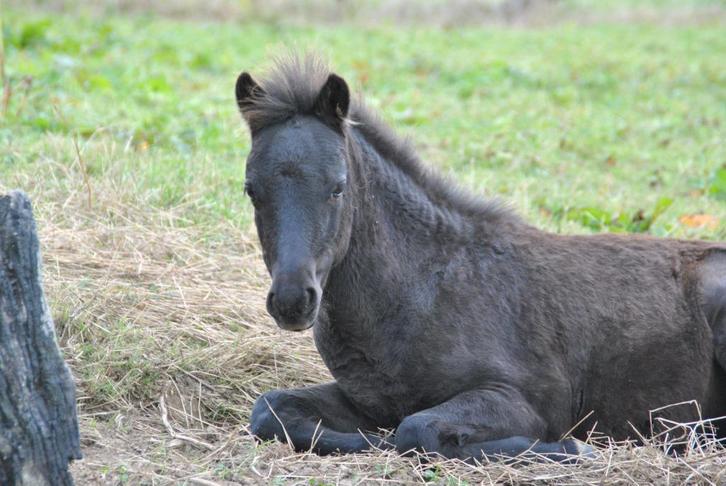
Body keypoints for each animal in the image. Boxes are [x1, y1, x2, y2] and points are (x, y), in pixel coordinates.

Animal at [234, 55, 726, 462]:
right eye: (251, 190)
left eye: (338, 187)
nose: (293, 301)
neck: (420, 292)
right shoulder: (366, 398)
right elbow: (271, 409)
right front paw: (369, 441)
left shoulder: (522, 399)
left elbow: (417, 430)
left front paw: (572, 448)